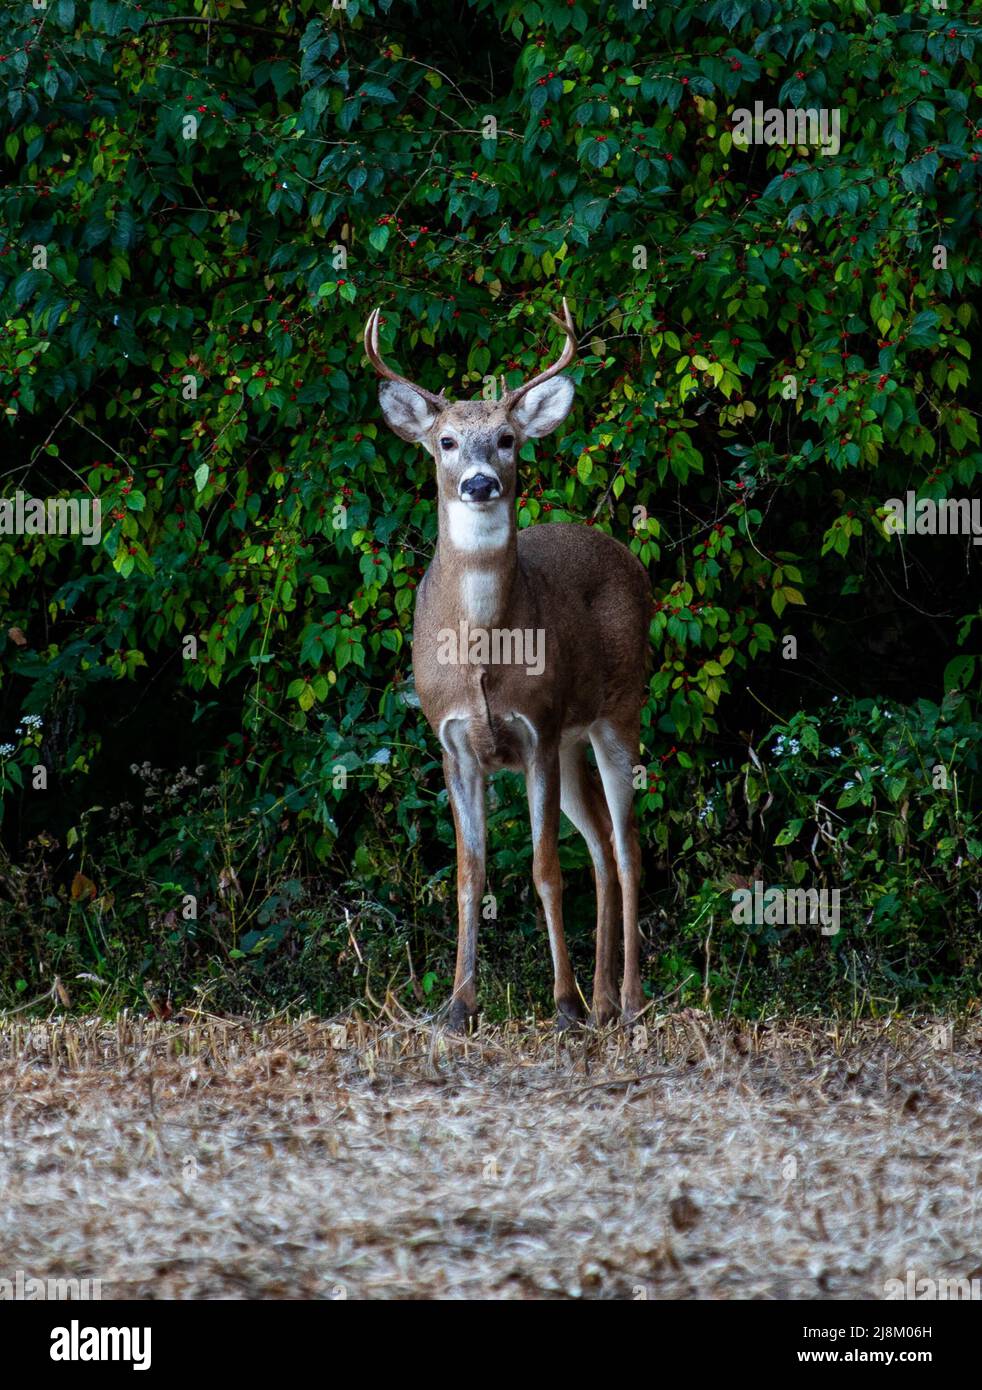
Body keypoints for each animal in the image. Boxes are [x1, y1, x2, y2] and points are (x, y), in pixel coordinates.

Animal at [365, 300, 651, 1030]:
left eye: (507, 439)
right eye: (445, 442)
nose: (479, 482)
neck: (482, 656)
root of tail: (626, 555)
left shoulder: (537, 731)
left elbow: (546, 869)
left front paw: (563, 1003)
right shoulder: (454, 742)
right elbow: (469, 873)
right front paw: (457, 1005)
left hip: (619, 710)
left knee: (627, 848)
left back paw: (628, 1001)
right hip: (575, 741)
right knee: (601, 846)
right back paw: (606, 1000)